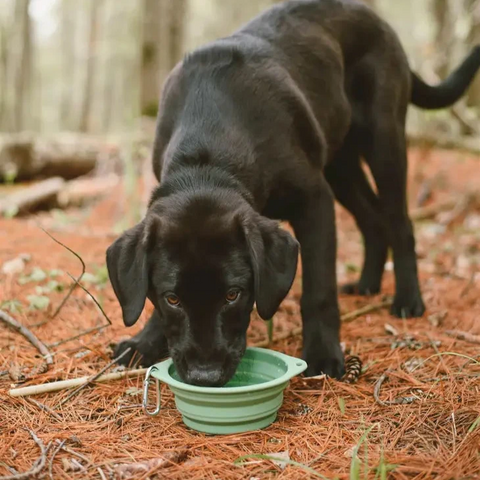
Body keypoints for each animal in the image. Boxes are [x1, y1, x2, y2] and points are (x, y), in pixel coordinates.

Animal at [106, 0, 480, 386]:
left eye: (233, 294)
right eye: (173, 299)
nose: (204, 375)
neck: (207, 156)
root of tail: (377, 19)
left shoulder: (314, 201)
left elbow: (318, 289)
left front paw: (322, 355)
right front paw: (144, 342)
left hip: (383, 141)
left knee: (399, 223)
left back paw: (407, 300)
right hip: (340, 166)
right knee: (373, 221)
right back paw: (366, 284)